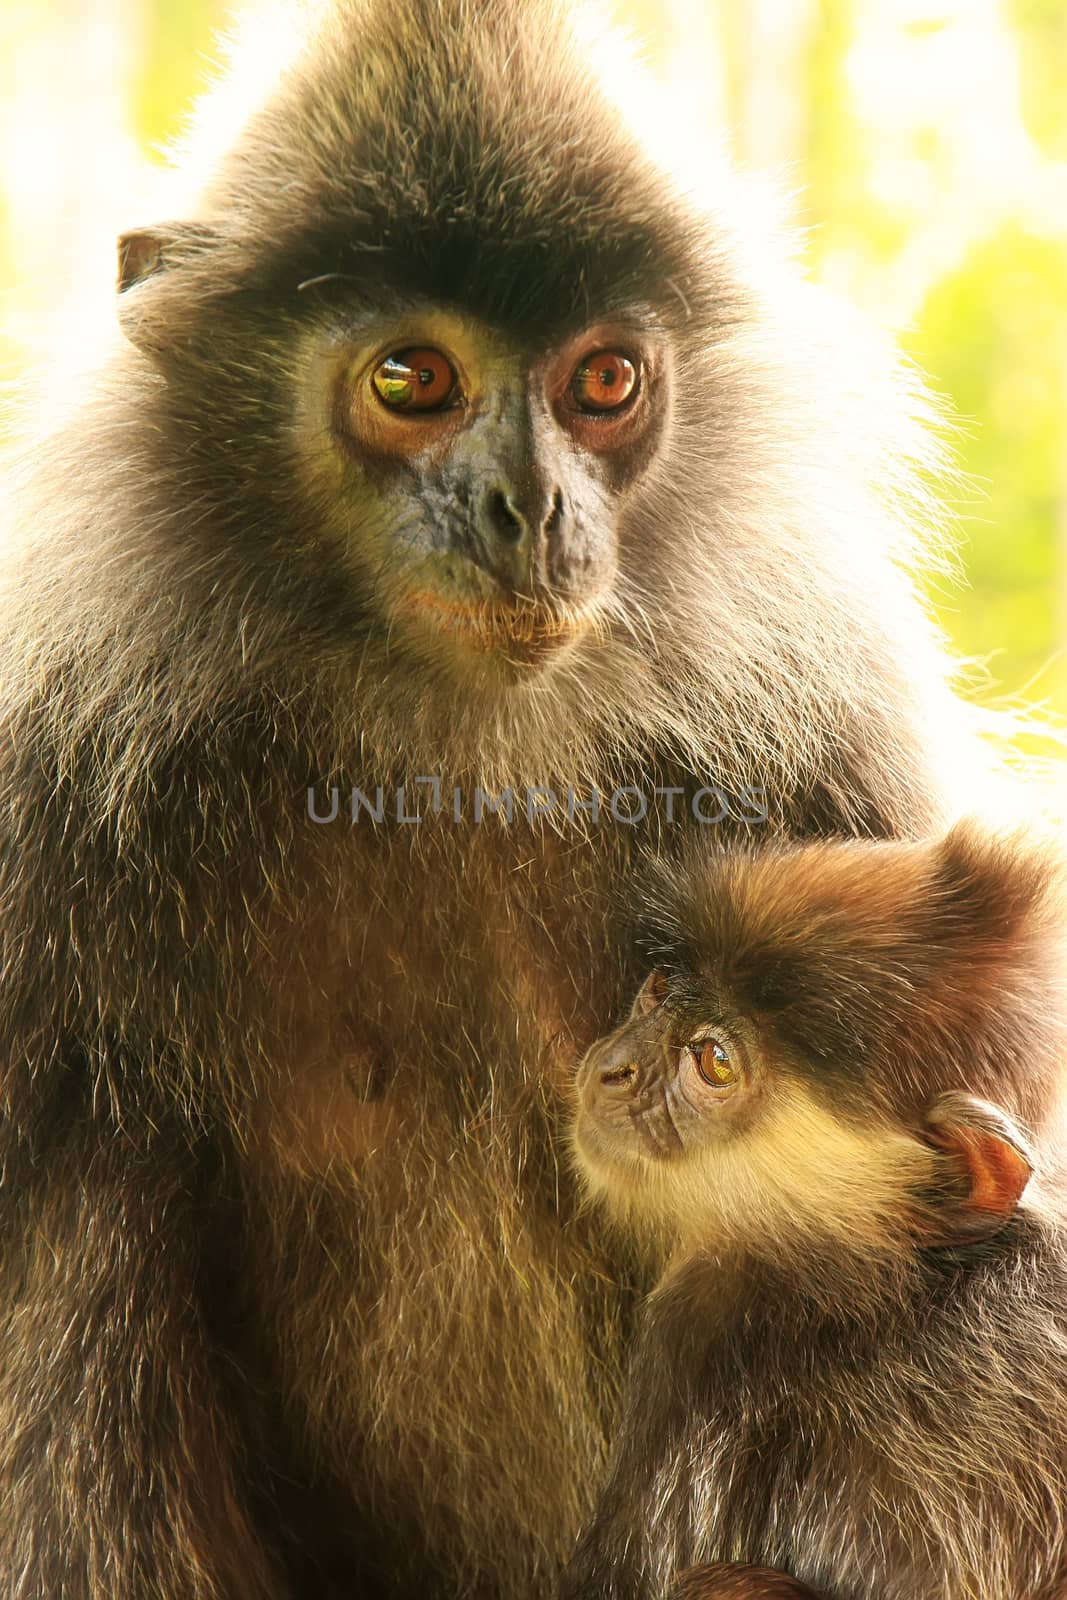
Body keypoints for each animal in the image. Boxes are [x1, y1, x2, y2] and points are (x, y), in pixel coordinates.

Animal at [2, 3, 985, 1600]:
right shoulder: (38, 775)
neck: (441, 744)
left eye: (603, 383)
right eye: (412, 380)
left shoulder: (834, 744)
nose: (529, 512)